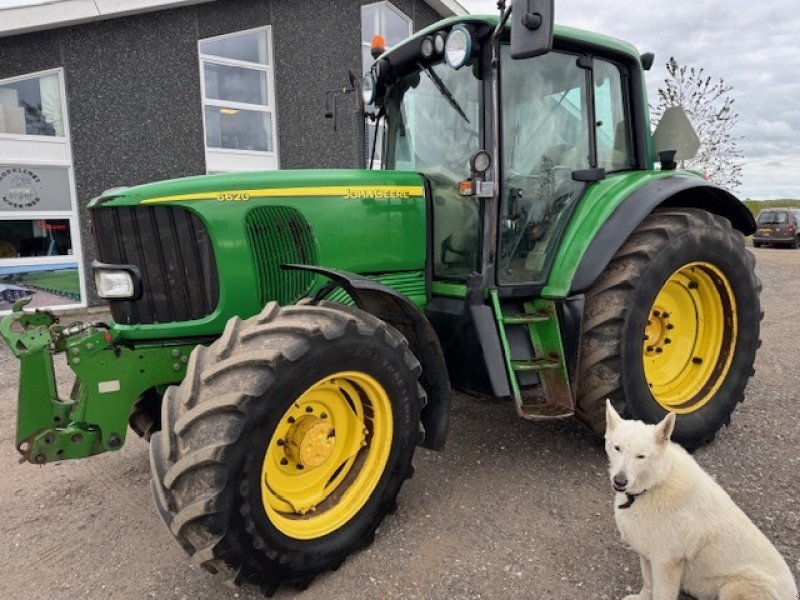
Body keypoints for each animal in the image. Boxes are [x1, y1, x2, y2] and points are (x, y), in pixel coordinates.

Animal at [604, 398, 796, 600]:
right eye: (617, 448)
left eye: (641, 456)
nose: (620, 481)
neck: (656, 483)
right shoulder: (647, 555)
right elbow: (648, 584)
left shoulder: (666, 562)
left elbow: (661, 593)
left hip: (735, 586)